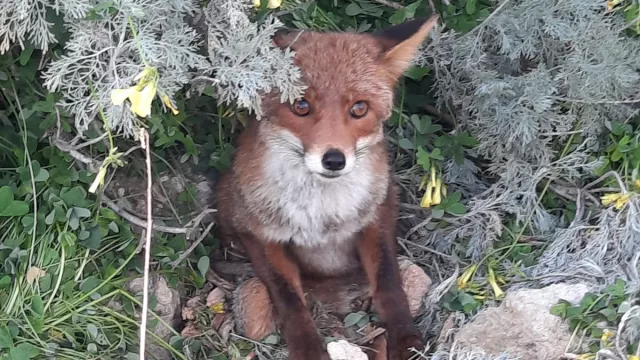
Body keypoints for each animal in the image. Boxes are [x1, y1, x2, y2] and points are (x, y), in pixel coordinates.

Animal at [215, 15, 440, 360]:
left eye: (359, 108)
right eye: (301, 105)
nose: (334, 159)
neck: (323, 217)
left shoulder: (378, 212)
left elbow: (389, 282)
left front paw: (405, 338)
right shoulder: (256, 232)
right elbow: (289, 299)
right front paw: (308, 348)